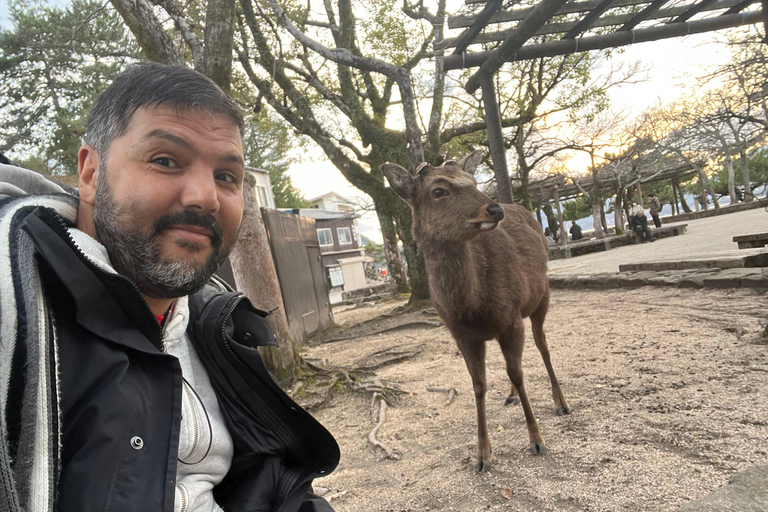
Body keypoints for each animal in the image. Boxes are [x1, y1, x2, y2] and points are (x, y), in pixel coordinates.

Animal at [384, 151, 568, 472]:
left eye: (473, 181)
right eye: (438, 191)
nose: (494, 209)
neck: (472, 305)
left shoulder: (511, 320)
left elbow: (517, 373)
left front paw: (537, 439)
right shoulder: (462, 336)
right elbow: (479, 385)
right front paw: (482, 455)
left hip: (542, 296)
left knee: (543, 346)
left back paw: (561, 402)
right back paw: (511, 398)